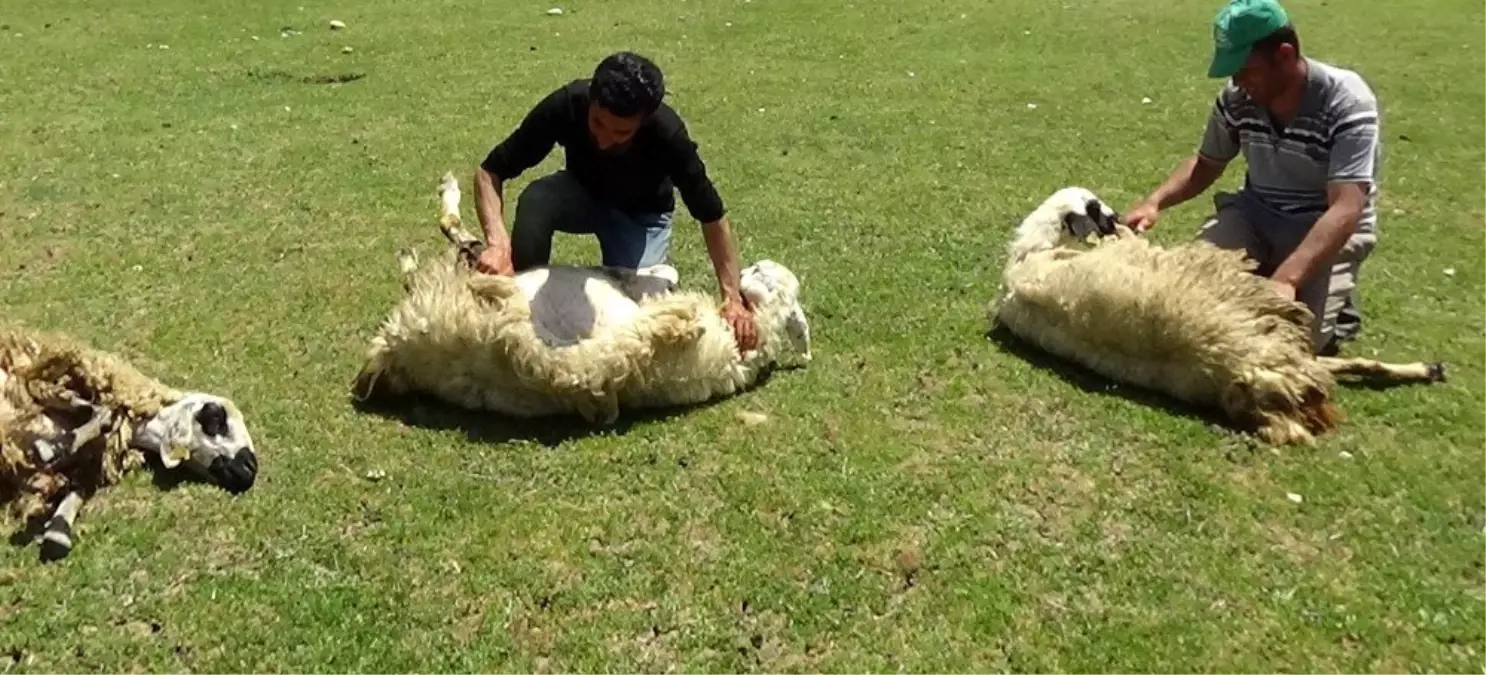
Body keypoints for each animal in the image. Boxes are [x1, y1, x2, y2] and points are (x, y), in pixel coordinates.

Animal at [1, 319, 258, 562]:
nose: (250, 470)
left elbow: (74, 495)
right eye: (216, 417)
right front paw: (52, 448)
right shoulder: (41, 375)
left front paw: (58, 530)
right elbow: (101, 412)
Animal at [349, 172, 814, 422]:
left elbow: (662, 276)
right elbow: (662, 274)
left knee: (457, 240)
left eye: (762, 274)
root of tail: (402, 347)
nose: (748, 270)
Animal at [992, 187, 1444, 446]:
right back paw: (1426, 368)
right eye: (1096, 208)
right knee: (1340, 369)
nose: (1118, 218)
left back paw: (1429, 369)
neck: (1028, 257)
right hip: (1280, 338)